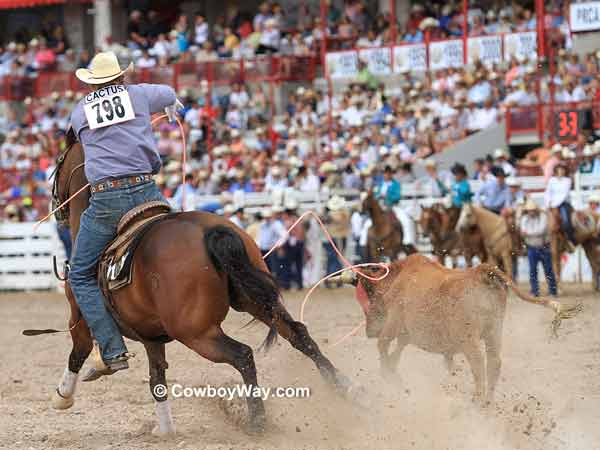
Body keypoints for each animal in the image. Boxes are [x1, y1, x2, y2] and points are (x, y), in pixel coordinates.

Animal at [45, 139, 352, 434]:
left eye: (58, 162)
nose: (56, 208)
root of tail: (209, 231)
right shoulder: (152, 338)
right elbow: (157, 380)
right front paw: (165, 429)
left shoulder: (79, 319)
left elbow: (78, 352)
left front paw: (63, 396)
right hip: (257, 301)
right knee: (298, 334)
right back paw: (342, 387)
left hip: (195, 333)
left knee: (243, 355)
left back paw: (257, 421)